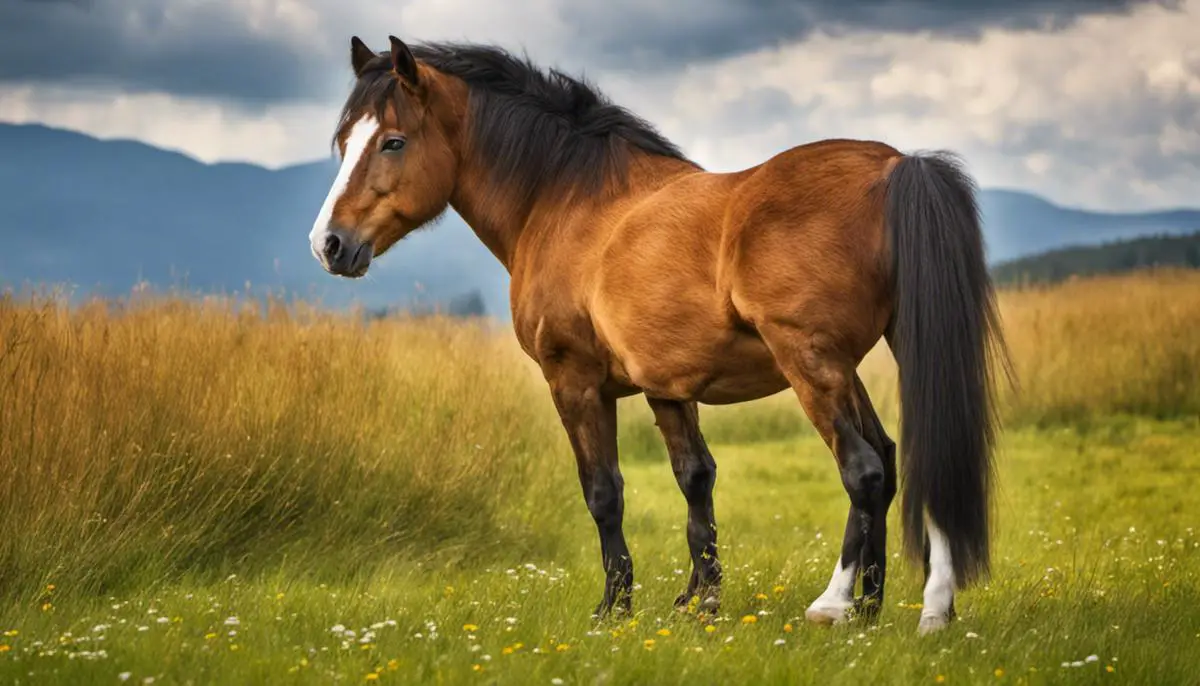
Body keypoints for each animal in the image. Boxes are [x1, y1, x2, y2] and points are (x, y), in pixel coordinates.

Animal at [309, 34, 1012, 633]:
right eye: (343, 140)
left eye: (393, 142)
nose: (329, 244)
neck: (569, 202)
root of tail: (896, 168)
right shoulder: (666, 386)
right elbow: (696, 484)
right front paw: (700, 603)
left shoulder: (574, 380)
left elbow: (603, 494)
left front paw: (613, 608)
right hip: (864, 359)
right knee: (899, 461)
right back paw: (896, 610)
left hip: (810, 361)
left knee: (864, 469)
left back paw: (836, 606)